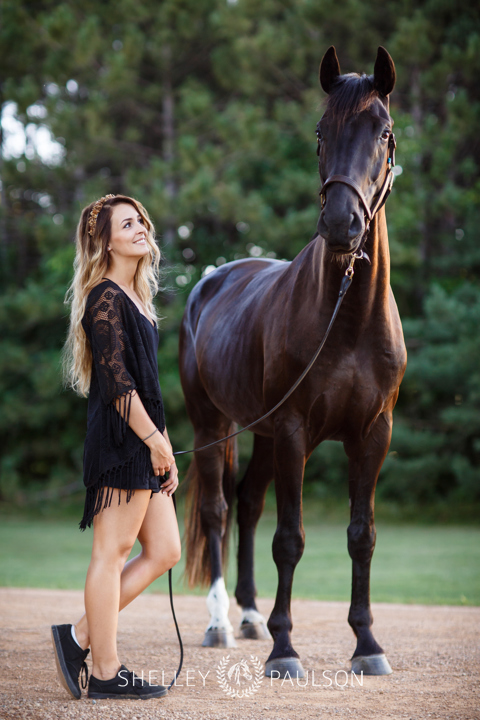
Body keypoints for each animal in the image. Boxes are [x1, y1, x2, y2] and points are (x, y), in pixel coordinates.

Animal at [179, 47, 404, 676]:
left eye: (383, 131)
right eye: (321, 131)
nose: (341, 224)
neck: (347, 318)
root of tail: (211, 280)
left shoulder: (372, 434)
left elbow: (362, 536)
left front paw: (368, 644)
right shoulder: (295, 431)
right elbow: (291, 539)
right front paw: (284, 649)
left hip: (259, 433)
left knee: (248, 505)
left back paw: (251, 617)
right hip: (213, 426)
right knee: (217, 512)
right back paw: (221, 624)